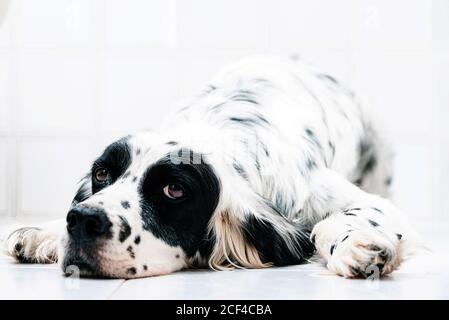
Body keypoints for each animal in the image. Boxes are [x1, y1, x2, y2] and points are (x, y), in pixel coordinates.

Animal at [1, 56, 420, 278]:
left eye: (174, 190)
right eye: (102, 173)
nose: (83, 222)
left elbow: (333, 222)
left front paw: (358, 246)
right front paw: (44, 231)